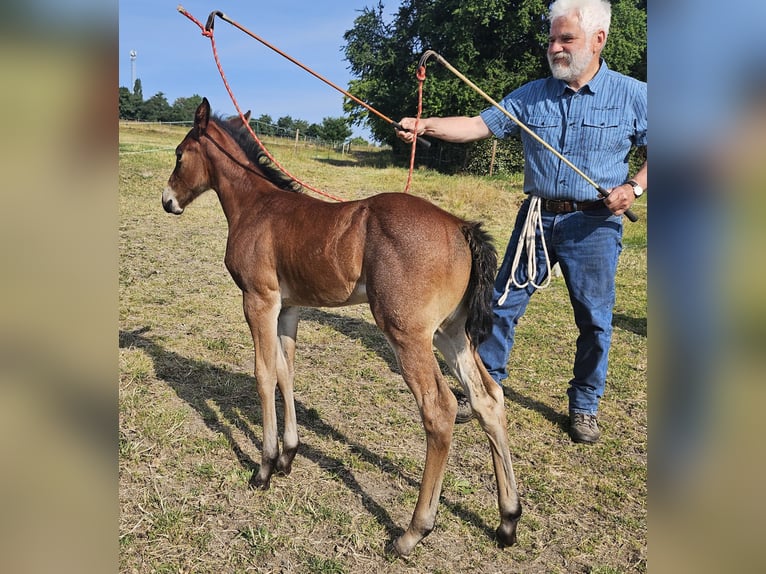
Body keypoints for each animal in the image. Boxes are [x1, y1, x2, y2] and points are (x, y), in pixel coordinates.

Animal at [162, 98, 521, 556]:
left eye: (179, 154)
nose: (168, 201)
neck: (256, 207)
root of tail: (461, 226)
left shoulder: (258, 301)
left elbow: (263, 374)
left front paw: (263, 467)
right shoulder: (288, 308)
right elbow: (286, 373)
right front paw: (288, 456)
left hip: (407, 333)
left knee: (440, 410)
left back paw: (413, 532)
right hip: (451, 332)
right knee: (487, 400)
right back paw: (508, 519)